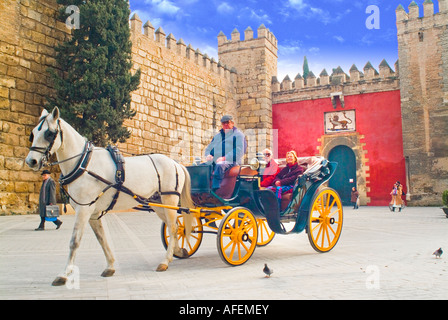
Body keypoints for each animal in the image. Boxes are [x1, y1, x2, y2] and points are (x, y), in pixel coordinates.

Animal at [24, 107, 192, 284]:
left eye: (49, 133)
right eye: (33, 133)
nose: (31, 161)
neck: (84, 163)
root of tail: (175, 163)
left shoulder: (84, 210)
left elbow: (74, 241)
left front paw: (64, 274)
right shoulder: (93, 213)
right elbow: (102, 239)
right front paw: (110, 266)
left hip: (169, 199)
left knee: (173, 228)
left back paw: (165, 261)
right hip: (158, 204)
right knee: (175, 227)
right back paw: (178, 251)